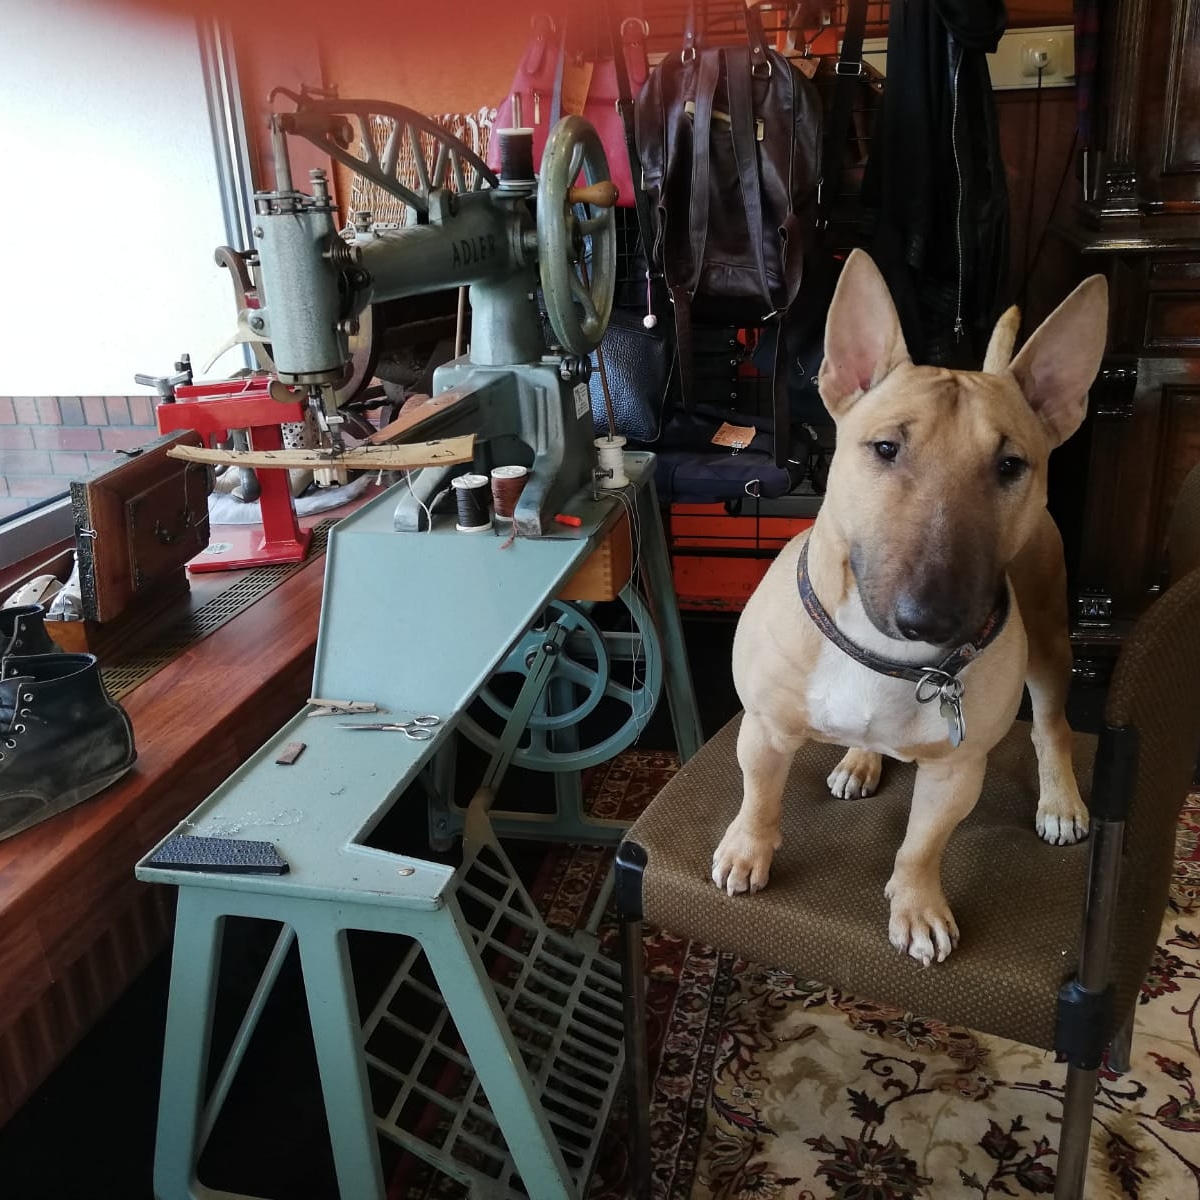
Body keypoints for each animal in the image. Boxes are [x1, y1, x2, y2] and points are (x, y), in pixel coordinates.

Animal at [715, 249, 1109, 967]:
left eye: (1011, 465)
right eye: (885, 448)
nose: (929, 618)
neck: (887, 657)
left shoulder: (957, 769)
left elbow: (923, 845)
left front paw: (918, 909)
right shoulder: (763, 727)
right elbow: (758, 798)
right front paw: (745, 853)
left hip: (1049, 639)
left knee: (1052, 726)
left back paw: (1059, 800)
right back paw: (858, 759)